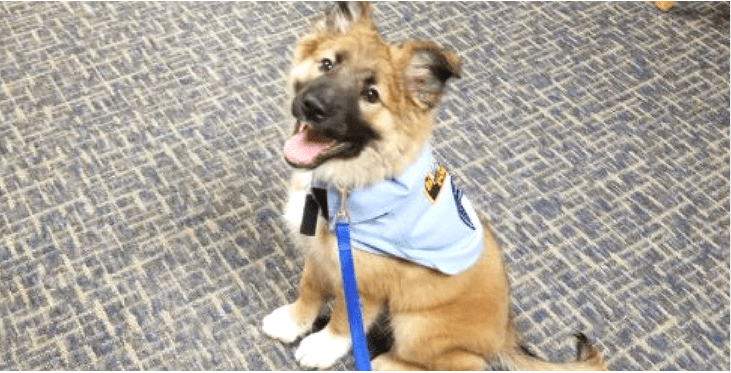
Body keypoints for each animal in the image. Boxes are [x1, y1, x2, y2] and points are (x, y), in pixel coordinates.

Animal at [264, 2, 608, 370]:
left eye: (371, 95)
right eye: (327, 64)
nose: (312, 106)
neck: (347, 185)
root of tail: (504, 334)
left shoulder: (365, 283)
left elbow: (344, 318)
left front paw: (323, 346)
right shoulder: (320, 255)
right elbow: (310, 289)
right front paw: (293, 321)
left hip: (417, 324)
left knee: (463, 363)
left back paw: (388, 362)